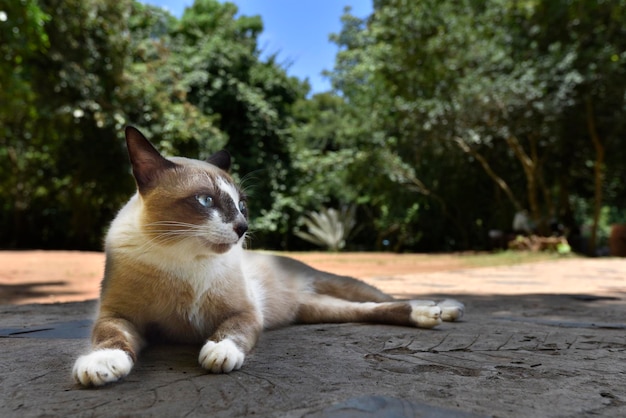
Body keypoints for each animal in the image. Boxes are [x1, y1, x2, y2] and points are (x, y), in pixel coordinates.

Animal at [73, 125, 464, 386]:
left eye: (242, 204)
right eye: (206, 201)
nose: (243, 227)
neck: (181, 260)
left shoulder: (244, 313)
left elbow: (229, 333)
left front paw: (218, 354)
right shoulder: (120, 316)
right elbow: (110, 338)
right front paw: (100, 365)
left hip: (342, 284)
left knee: (385, 296)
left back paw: (442, 308)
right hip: (321, 310)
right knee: (372, 310)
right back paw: (429, 314)